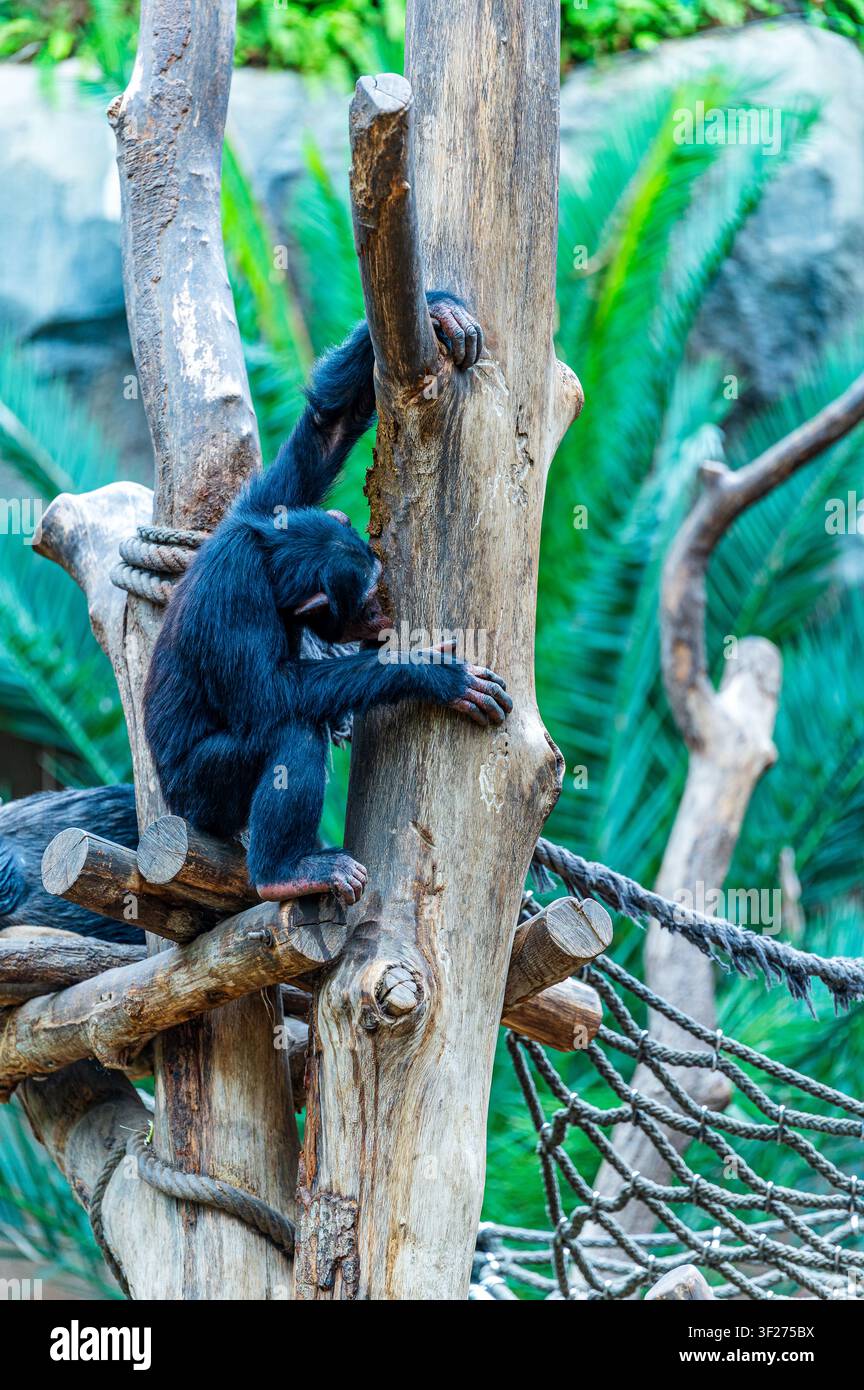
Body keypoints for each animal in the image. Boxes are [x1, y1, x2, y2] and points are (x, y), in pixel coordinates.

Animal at [143, 291, 513, 906]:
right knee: (290, 730)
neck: (269, 566)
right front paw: (430, 671)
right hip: (202, 797)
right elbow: (270, 695)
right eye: (365, 604)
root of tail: (171, 813)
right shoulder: (235, 595)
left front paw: (442, 313)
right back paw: (286, 871)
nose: (383, 613)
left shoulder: (269, 506)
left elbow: (327, 427)